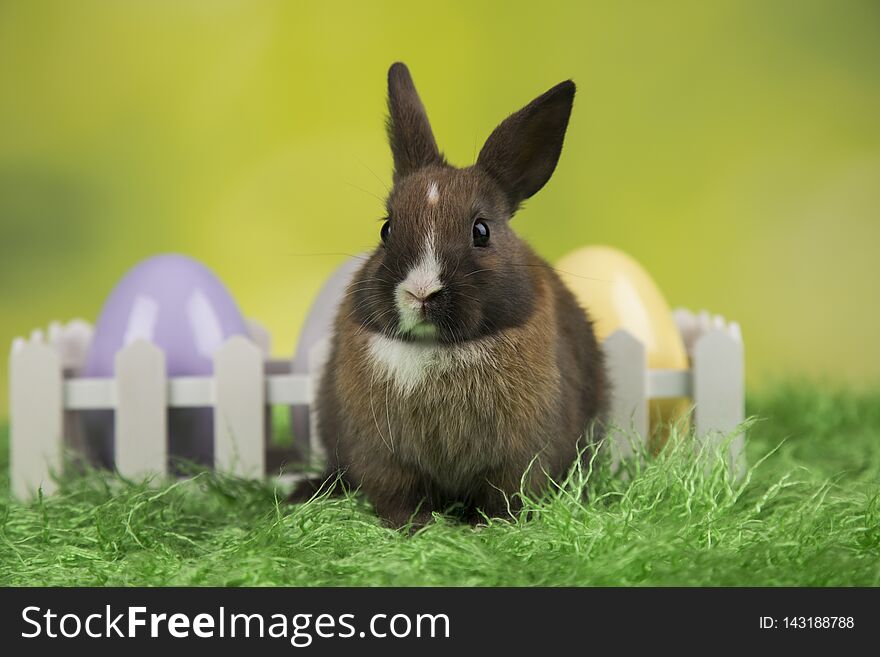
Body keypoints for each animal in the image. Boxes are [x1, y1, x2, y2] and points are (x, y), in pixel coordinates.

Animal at [300, 60, 608, 524]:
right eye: (386, 229)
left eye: (481, 231)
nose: (421, 292)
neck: (437, 350)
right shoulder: (383, 458)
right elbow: (398, 497)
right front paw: (414, 528)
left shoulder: (520, 459)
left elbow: (505, 498)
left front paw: (488, 528)